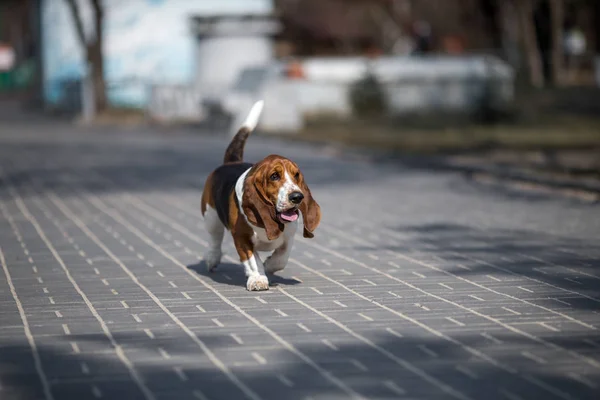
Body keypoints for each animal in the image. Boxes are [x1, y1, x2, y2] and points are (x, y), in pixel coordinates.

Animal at [200, 100, 322, 290]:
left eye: (296, 175)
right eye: (274, 176)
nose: (297, 197)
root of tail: (231, 162)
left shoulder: (289, 236)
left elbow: (282, 257)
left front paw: (269, 265)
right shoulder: (241, 237)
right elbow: (252, 260)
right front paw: (258, 278)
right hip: (211, 217)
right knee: (215, 238)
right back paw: (212, 258)